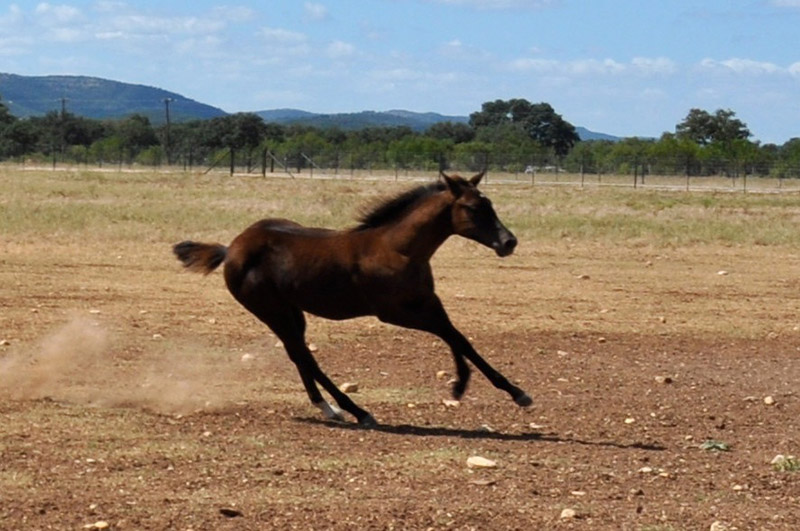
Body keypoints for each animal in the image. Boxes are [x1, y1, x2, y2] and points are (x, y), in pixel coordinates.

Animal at [172, 171, 528, 428]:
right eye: (473, 208)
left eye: (490, 205)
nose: (508, 242)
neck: (399, 248)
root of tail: (231, 249)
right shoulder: (394, 311)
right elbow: (450, 335)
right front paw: (472, 386)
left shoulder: (428, 302)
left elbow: (459, 338)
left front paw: (498, 389)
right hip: (272, 311)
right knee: (304, 357)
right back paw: (357, 411)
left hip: (291, 311)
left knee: (298, 355)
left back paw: (330, 409)